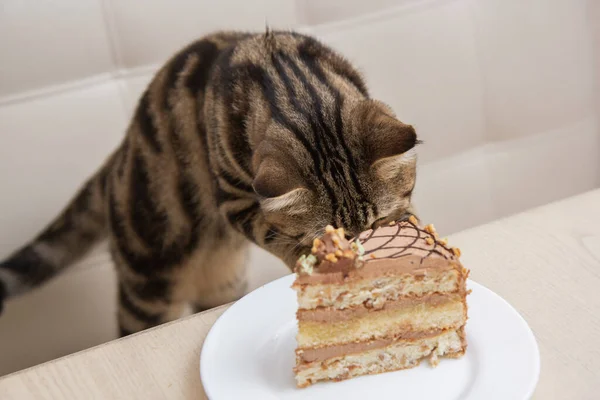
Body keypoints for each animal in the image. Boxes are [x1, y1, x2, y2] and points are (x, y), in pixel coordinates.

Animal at [0, 31, 418, 336]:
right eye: (332, 236)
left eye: (375, 223)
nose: (362, 255)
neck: (292, 83)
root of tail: (118, 157)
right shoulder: (235, 199)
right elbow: (273, 232)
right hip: (147, 286)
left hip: (222, 283)